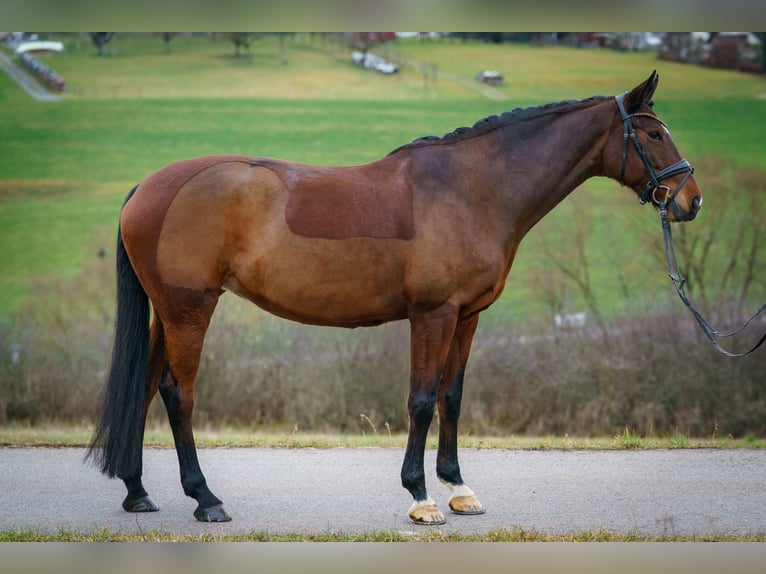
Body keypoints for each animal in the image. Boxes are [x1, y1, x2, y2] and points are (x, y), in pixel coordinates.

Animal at [88, 72, 704, 528]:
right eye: (653, 135)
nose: (690, 200)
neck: (472, 190)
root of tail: (146, 188)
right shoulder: (433, 315)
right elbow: (422, 400)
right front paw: (421, 497)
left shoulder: (467, 316)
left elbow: (452, 398)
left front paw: (459, 488)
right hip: (190, 309)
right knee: (178, 394)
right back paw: (206, 499)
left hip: (167, 313)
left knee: (145, 383)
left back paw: (137, 491)